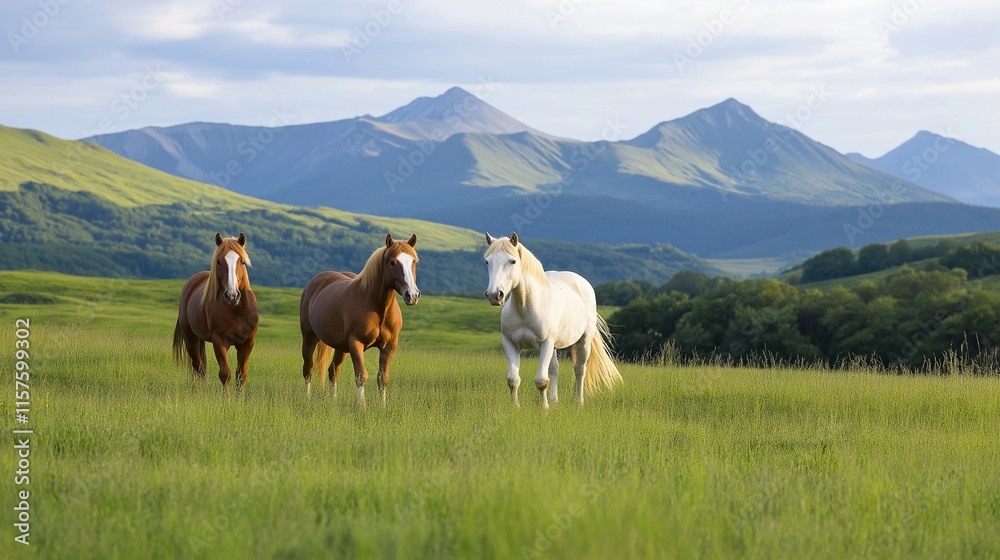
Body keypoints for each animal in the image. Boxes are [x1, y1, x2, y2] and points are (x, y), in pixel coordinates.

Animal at [173, 233, 259, 391]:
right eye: (218, 262)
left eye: (243, 262)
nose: (232, 295)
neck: (236, 311)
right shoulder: (219, 341)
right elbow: (225, 374)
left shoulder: (247, 342)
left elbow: (241, 375)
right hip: (190, 338)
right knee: (199, 368)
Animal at [299, 234, 420, 407]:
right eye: (392, 262)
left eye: (414, 261)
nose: (412, 295)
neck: (378, 307)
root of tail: (316, 281)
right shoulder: (356, 343)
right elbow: (361, 375)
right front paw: (361, 406)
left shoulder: (390, 345)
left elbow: (382, 377)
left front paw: (382, 406)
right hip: (309, 338)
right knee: (308, 368)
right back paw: (307, 398)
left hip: (341, 348)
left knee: (333, 371)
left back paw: (332, 400)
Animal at [484, 232, 622, 408]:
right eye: (487, 261)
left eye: (512, 261)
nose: (494, 295)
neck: (525, 308)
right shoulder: (511, 344)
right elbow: (513, 380)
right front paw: (515, 407)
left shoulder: (545, 344)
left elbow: (541, 380)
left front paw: (544, 408)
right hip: (554, 346)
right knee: (554, 369)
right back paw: (554, 400)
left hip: (583, 341)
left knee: (579, 369)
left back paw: (579, 402)